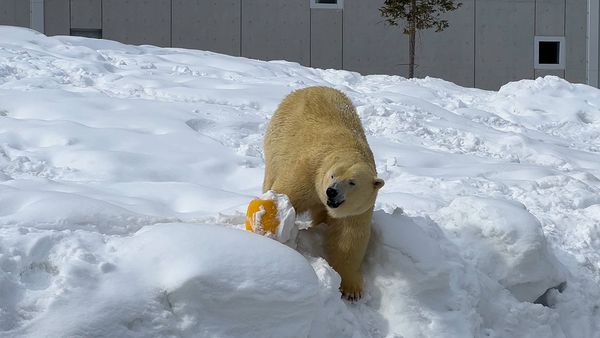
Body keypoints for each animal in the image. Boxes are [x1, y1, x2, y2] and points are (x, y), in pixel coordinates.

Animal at [264, 86, 384, 300]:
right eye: (332, 175)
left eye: (352, 182)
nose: (332, 192)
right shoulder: (308, 172)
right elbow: (286, 194)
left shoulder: (358, 209)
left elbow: (348, 238)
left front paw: (351, 289)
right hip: (277, 138)